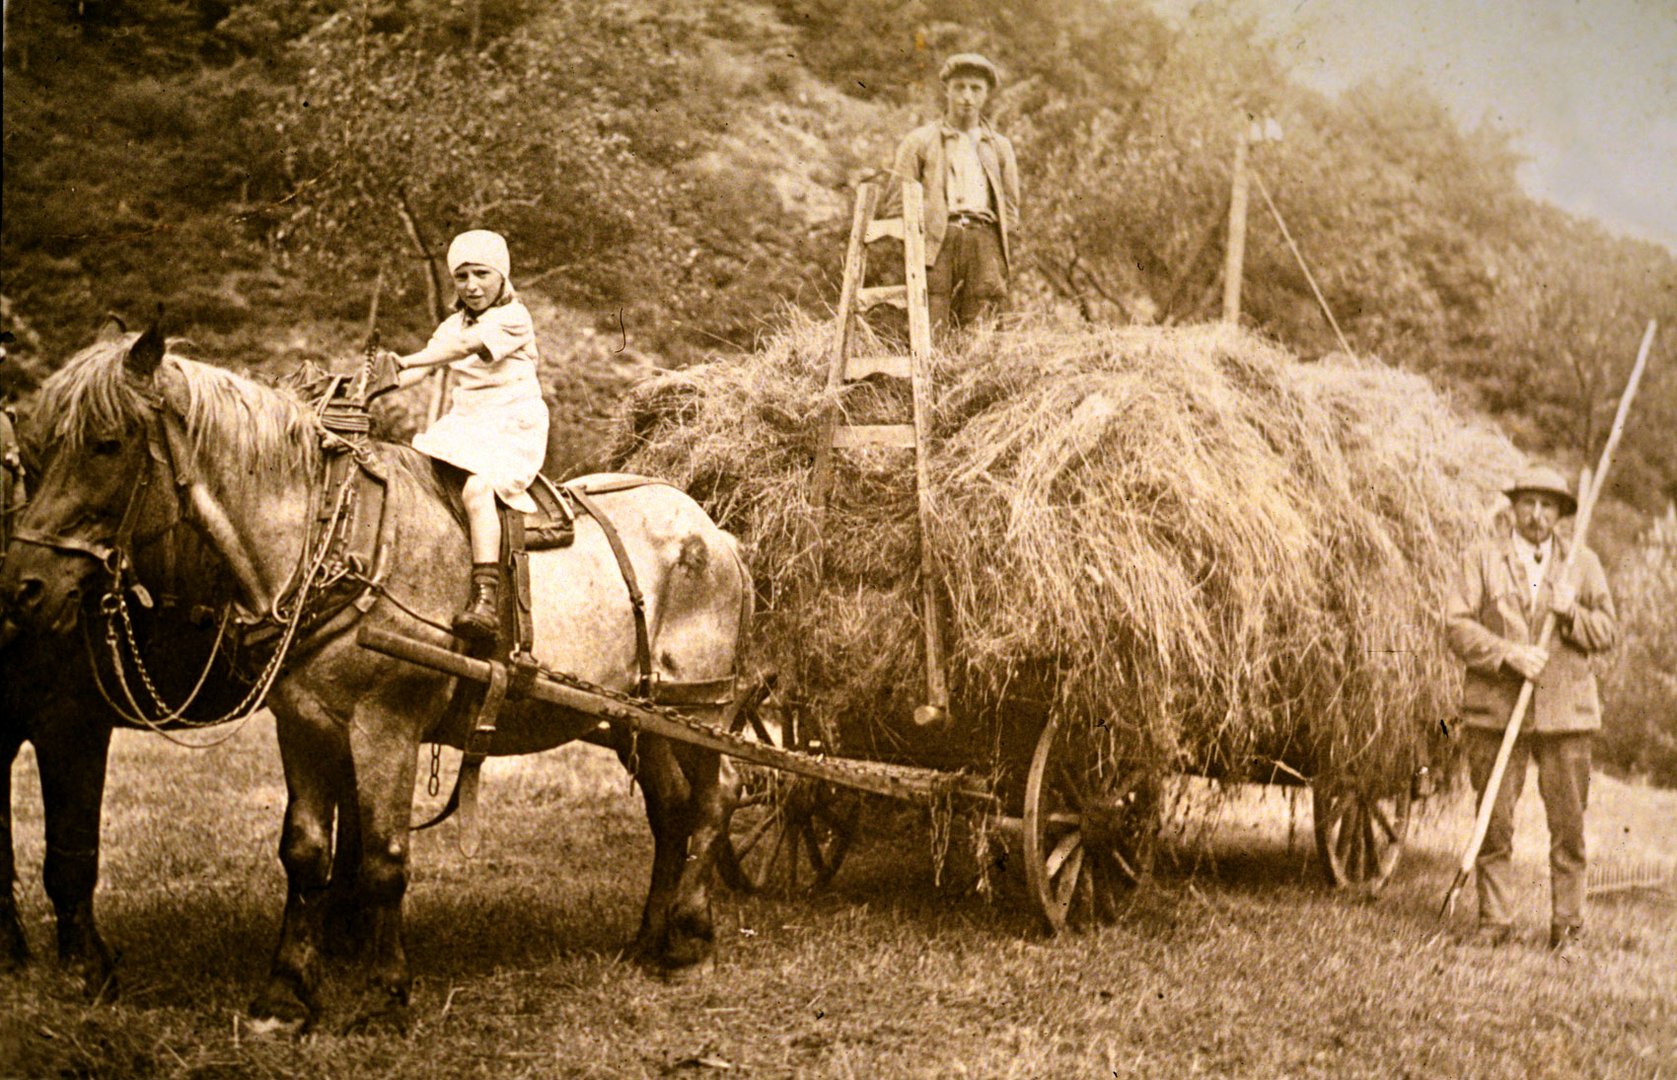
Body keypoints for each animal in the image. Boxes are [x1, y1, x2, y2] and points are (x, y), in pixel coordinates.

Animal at [0, 325, 747, 1033]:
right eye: (32, 456)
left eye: (106, 444)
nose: (24, 586)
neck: (334, 536)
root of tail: (716, 533)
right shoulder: (303, 722)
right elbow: (305, 852)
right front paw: (286, 995)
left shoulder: (386, 726)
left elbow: (385, 859)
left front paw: (385, 995)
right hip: (638, 717)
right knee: (671, 811)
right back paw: (650, 941)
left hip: (702, 713)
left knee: (716, 801)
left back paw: (691, 942)